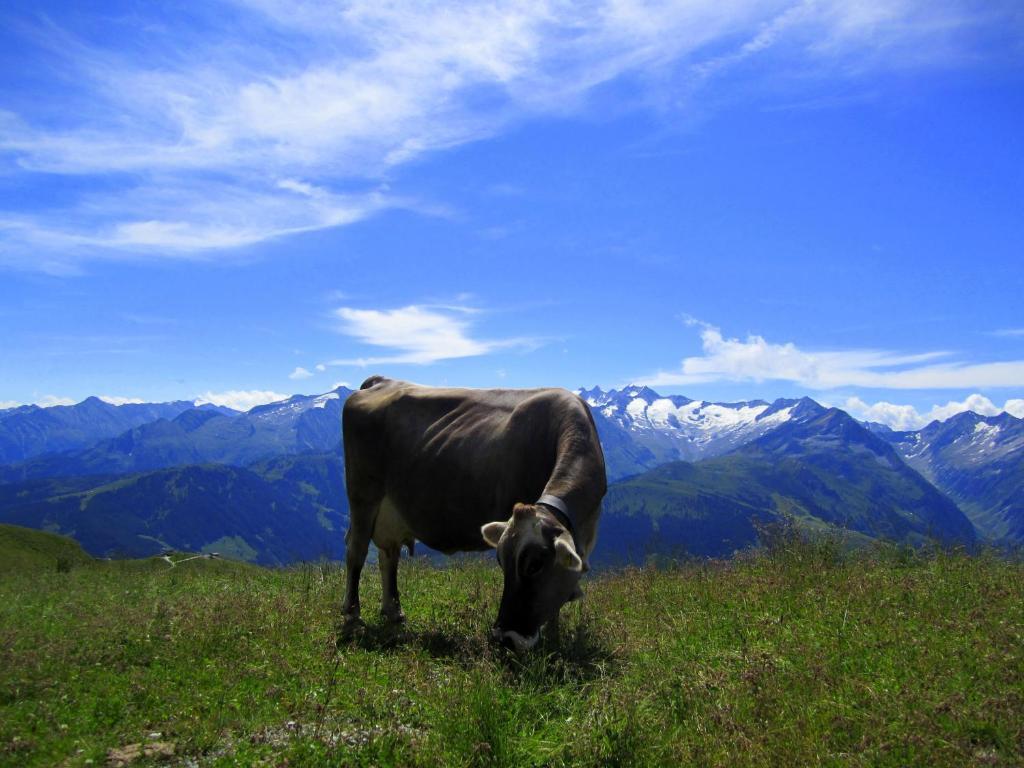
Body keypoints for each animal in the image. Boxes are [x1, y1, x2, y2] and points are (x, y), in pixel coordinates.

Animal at [342, 376, 606, 651]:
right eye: (501, 561)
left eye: (534, 565)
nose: (506, 638)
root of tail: (382, 381)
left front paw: (554, 637)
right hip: (363, 495)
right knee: (356, 551)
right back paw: (352, 617)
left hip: (390, 511)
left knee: (389, 555)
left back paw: (394, 612)